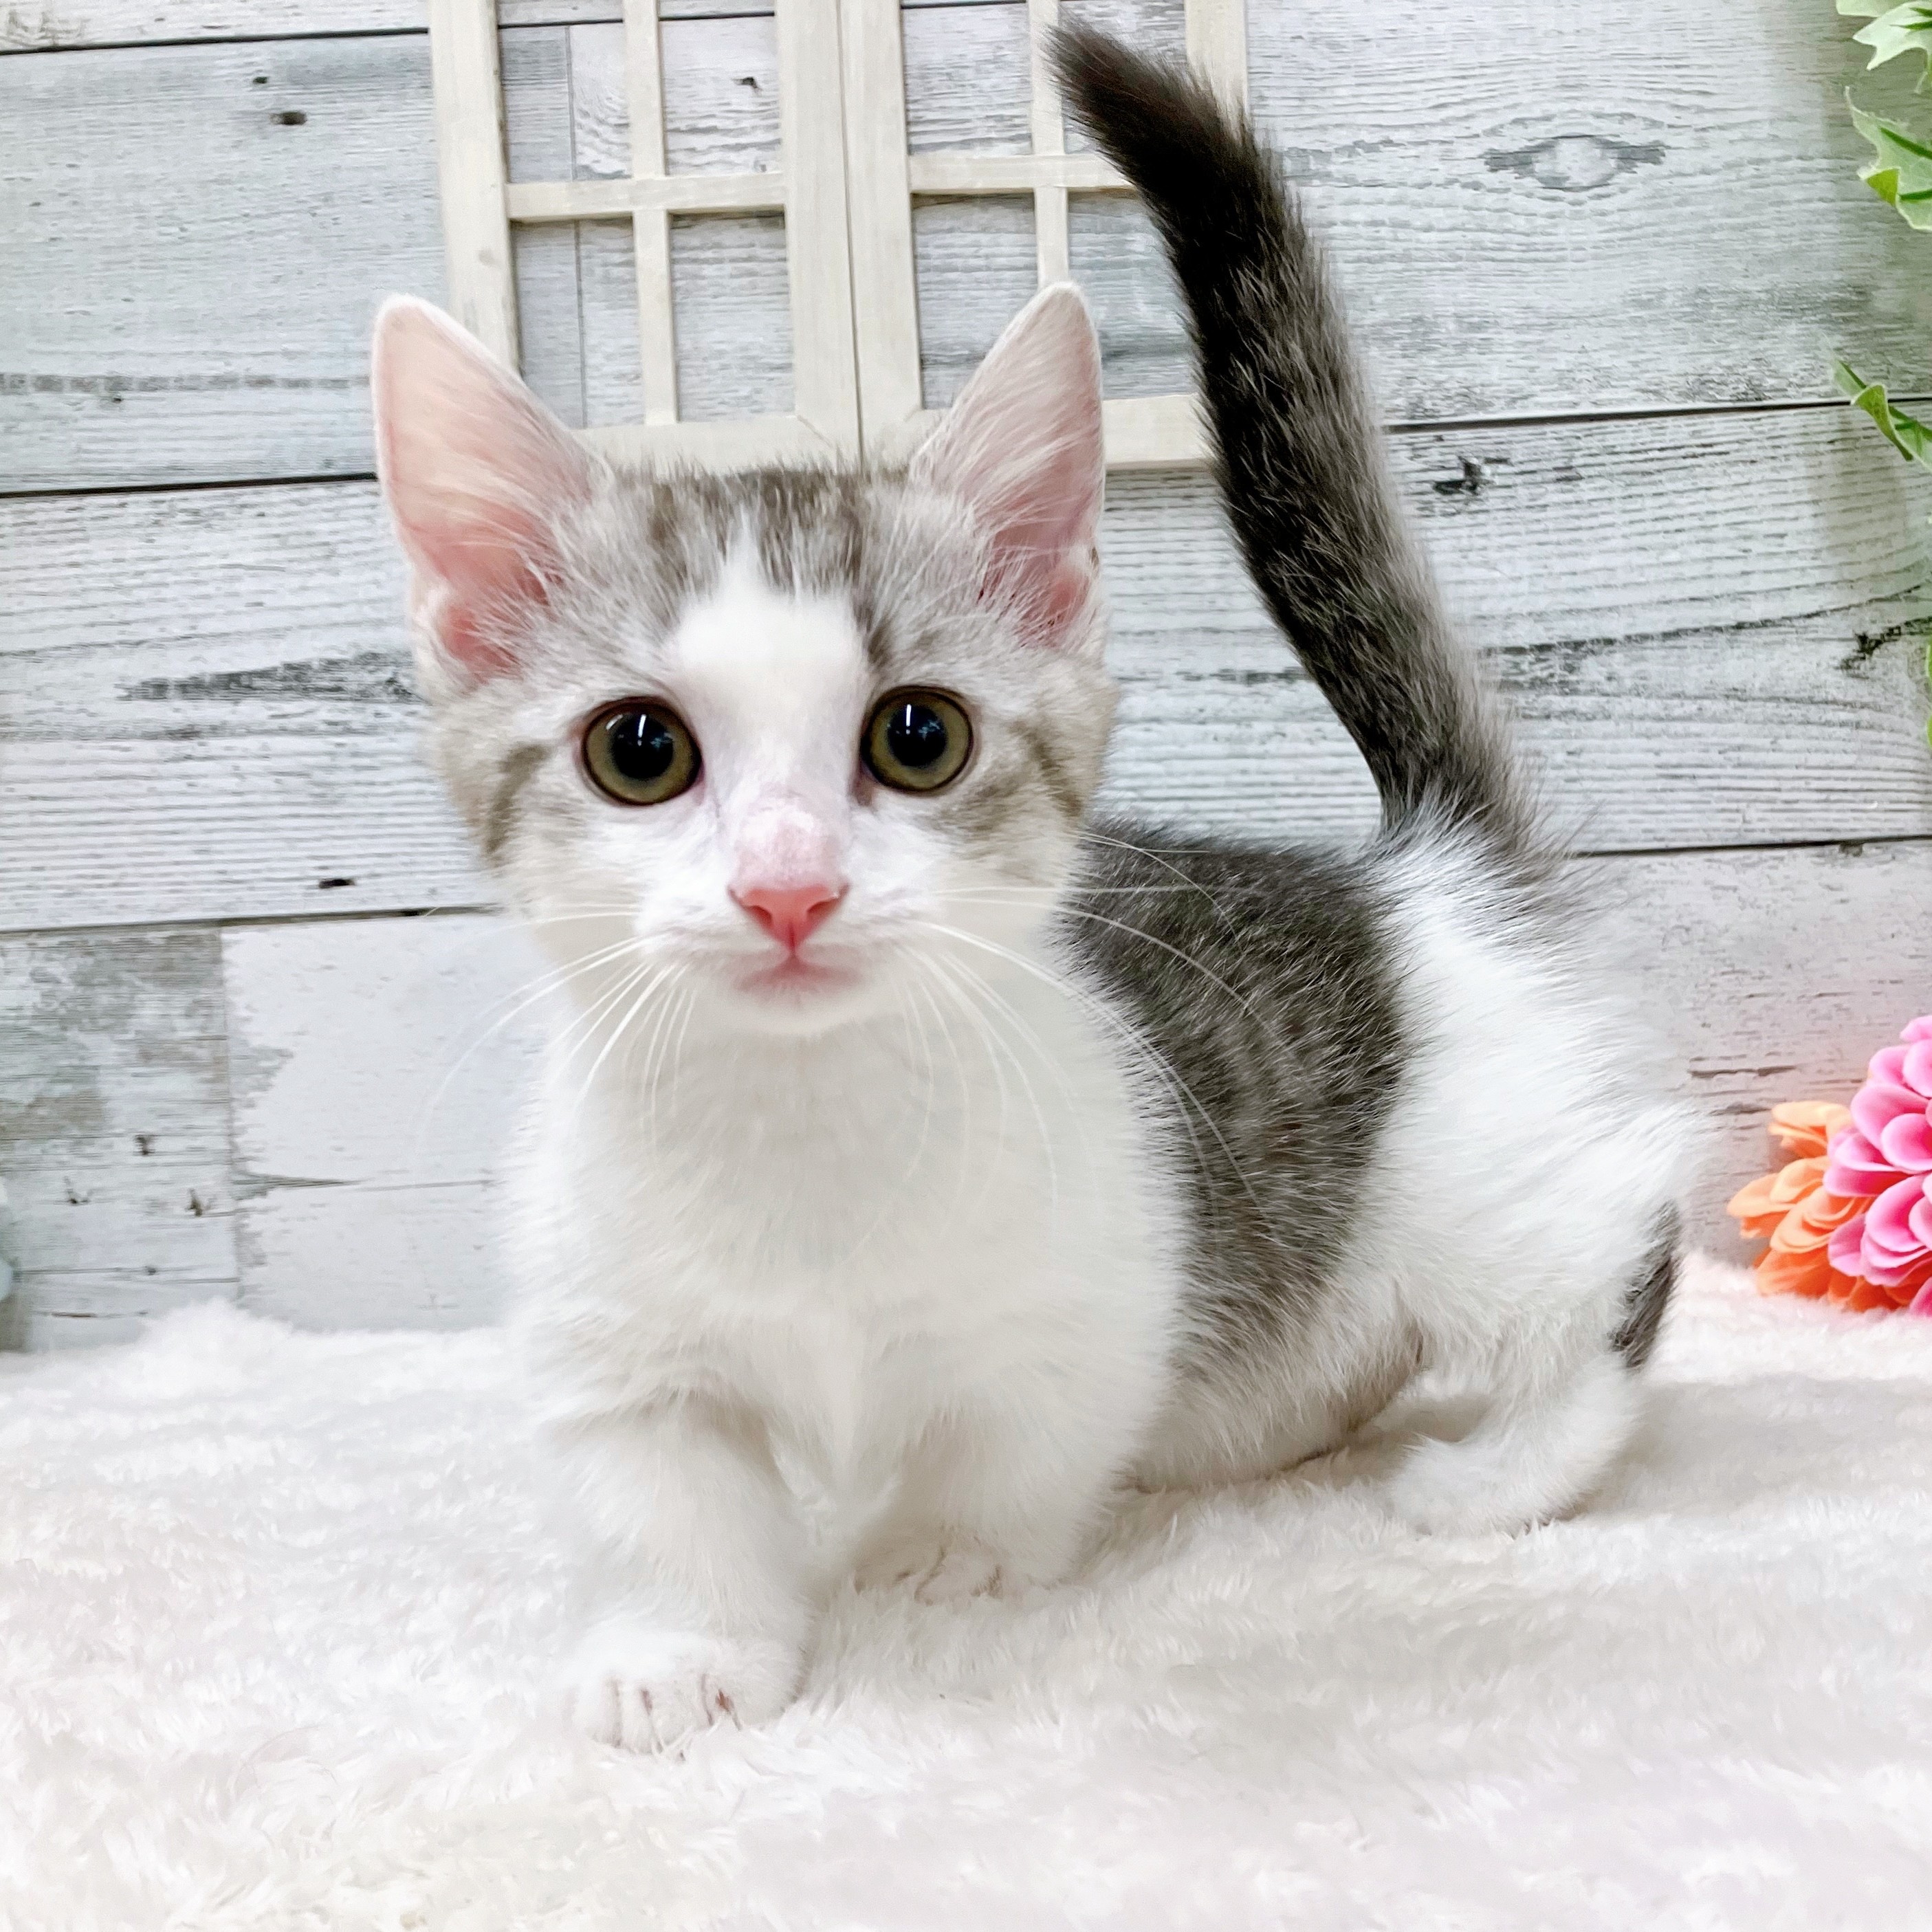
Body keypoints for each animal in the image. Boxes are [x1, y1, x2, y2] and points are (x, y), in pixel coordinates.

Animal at [370, 26, 1691, 1753]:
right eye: (638, 750)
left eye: (916, 737)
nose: (787, 886)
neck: (805, 1128)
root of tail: (1427, 868)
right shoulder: (614, 1336)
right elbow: (661, 1489)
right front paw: (678, 1646)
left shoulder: (1095, 1298)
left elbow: (1012, 1440)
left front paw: (936, 1556)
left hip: (1474, 1184)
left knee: (1615, 1243)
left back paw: (1501, 1469)